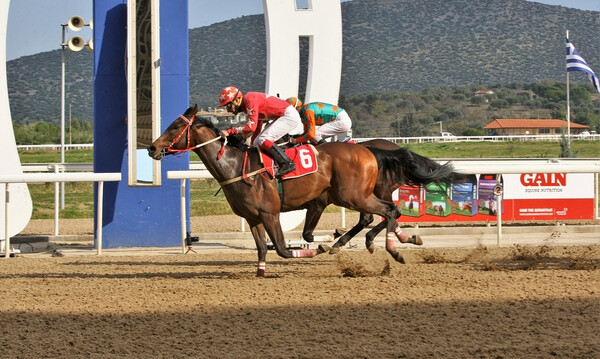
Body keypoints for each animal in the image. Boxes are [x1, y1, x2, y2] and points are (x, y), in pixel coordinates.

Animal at [150, 105, 460, 278]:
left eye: (175, 126)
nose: (152, 147)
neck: (236, 167)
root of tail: (370, 150)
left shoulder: (271, 213)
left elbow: (284, 249)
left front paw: (318, 248)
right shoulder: (253, 217)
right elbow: (264, 247)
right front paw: (260, 273)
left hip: (355, 195)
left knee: (388, 211)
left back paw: (396, 245)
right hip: (352, 195)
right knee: (377, 216)